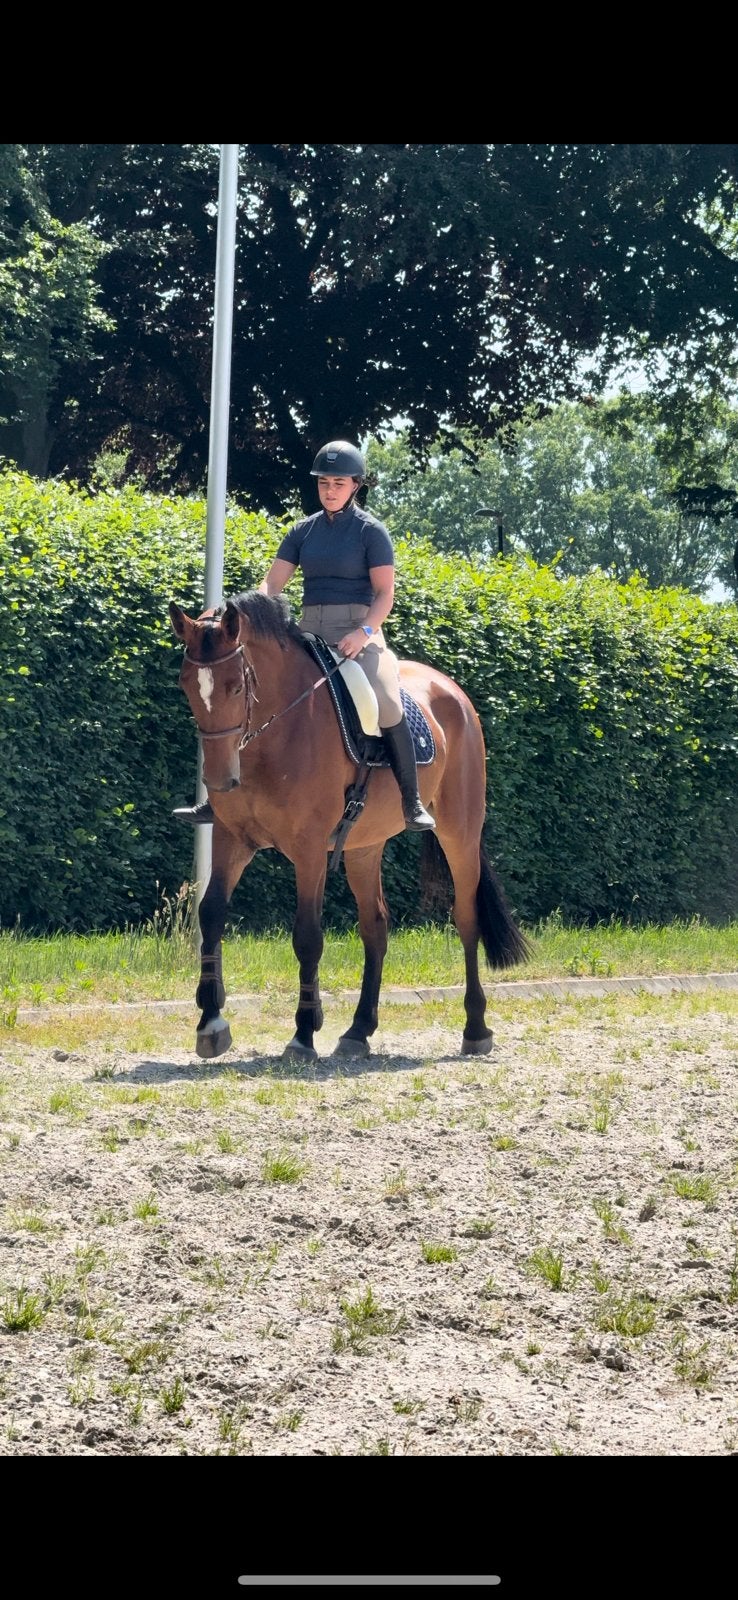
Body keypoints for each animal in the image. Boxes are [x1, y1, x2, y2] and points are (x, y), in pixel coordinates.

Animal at [169, 591, 530, 1062]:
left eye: (235, 685)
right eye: (186, 685)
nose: (218, 780)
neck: (275, 732)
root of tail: (452, 690)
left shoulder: (308, 850)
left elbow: (307, 935)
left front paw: (304, 1032)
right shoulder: (232, 839)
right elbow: (211, 913)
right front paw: (211, 1022)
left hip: (460, 833)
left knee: (466, 918)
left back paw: (476, 1028)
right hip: (363, 846)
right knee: (375, 925)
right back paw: (359, 1030)